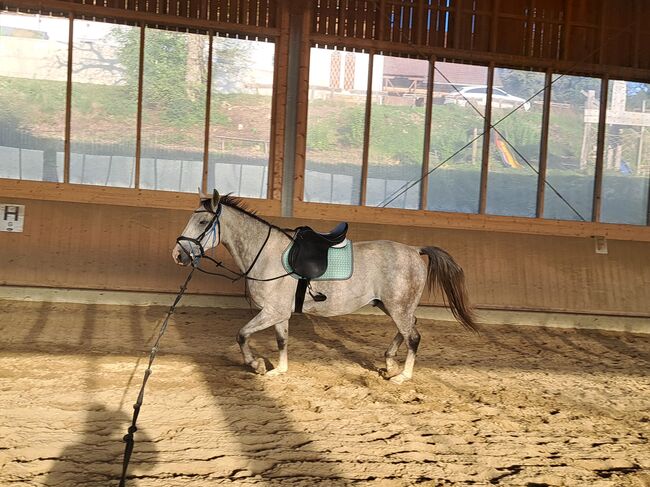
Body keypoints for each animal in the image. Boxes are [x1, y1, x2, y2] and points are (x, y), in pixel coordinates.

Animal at [172, 191, 476, 386]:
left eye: (202, 222)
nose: (178, 255)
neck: (267, 253)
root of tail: (414, 250)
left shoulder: (272, 312)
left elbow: (242, 334)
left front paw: (256, 364)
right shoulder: (279, 313)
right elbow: (281, 341)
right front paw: (278, 370)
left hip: (398, 307)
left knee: (413, 336)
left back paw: (403, 376)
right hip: (392, 306)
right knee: (407, 330)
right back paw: (390, 363)